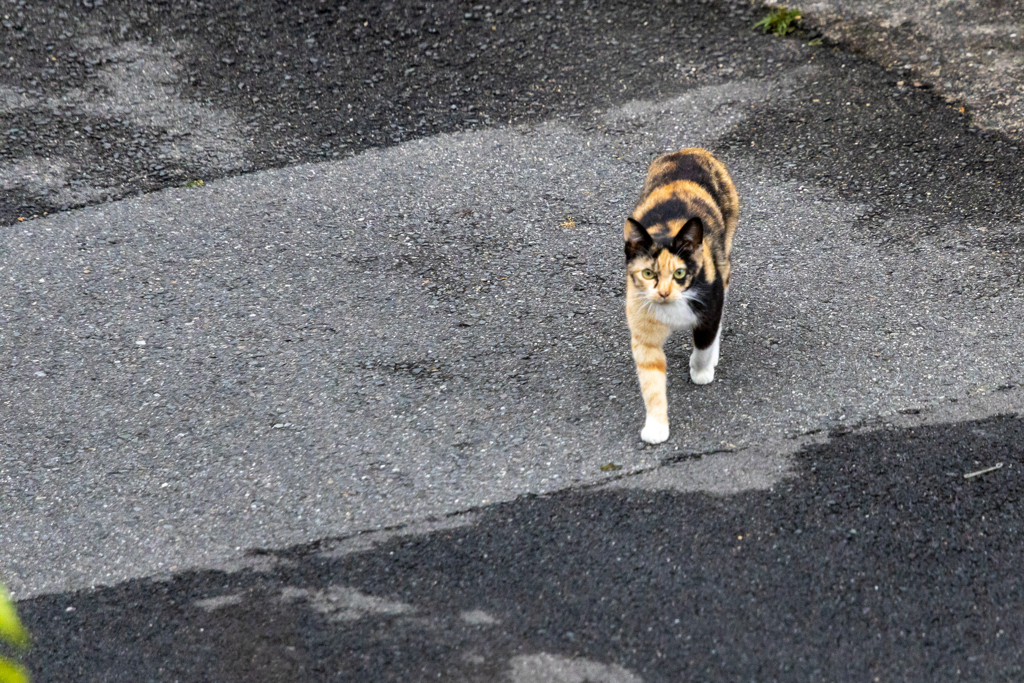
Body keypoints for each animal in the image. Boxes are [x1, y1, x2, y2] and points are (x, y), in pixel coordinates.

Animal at [622, 147, 737, 446]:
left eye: (680, 273)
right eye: (648, 273)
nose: (663, 292)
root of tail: (689, 150)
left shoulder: (710, 300)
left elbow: (704, 341)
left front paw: (701, 371)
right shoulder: (643, 330)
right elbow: (651, 380)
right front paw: (656, 427)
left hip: (724, 255)